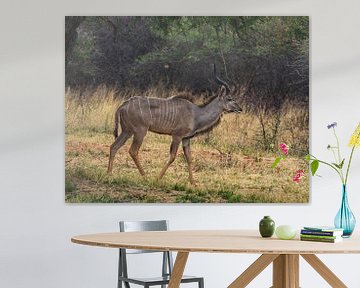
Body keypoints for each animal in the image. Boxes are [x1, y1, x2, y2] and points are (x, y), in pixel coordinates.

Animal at [107, 65, 242, 183]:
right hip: (140, 131)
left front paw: (193, 182)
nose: (240, 109)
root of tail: (123, 105)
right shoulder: (177, 136)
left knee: (114, 146)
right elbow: (172, 157)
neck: (196, 113)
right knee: (133, 151)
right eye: (230, 98)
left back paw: (109, 173)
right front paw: (158, 178)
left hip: (127, 131)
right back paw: (145, 177)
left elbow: (189, 158)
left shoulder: (186, 139)